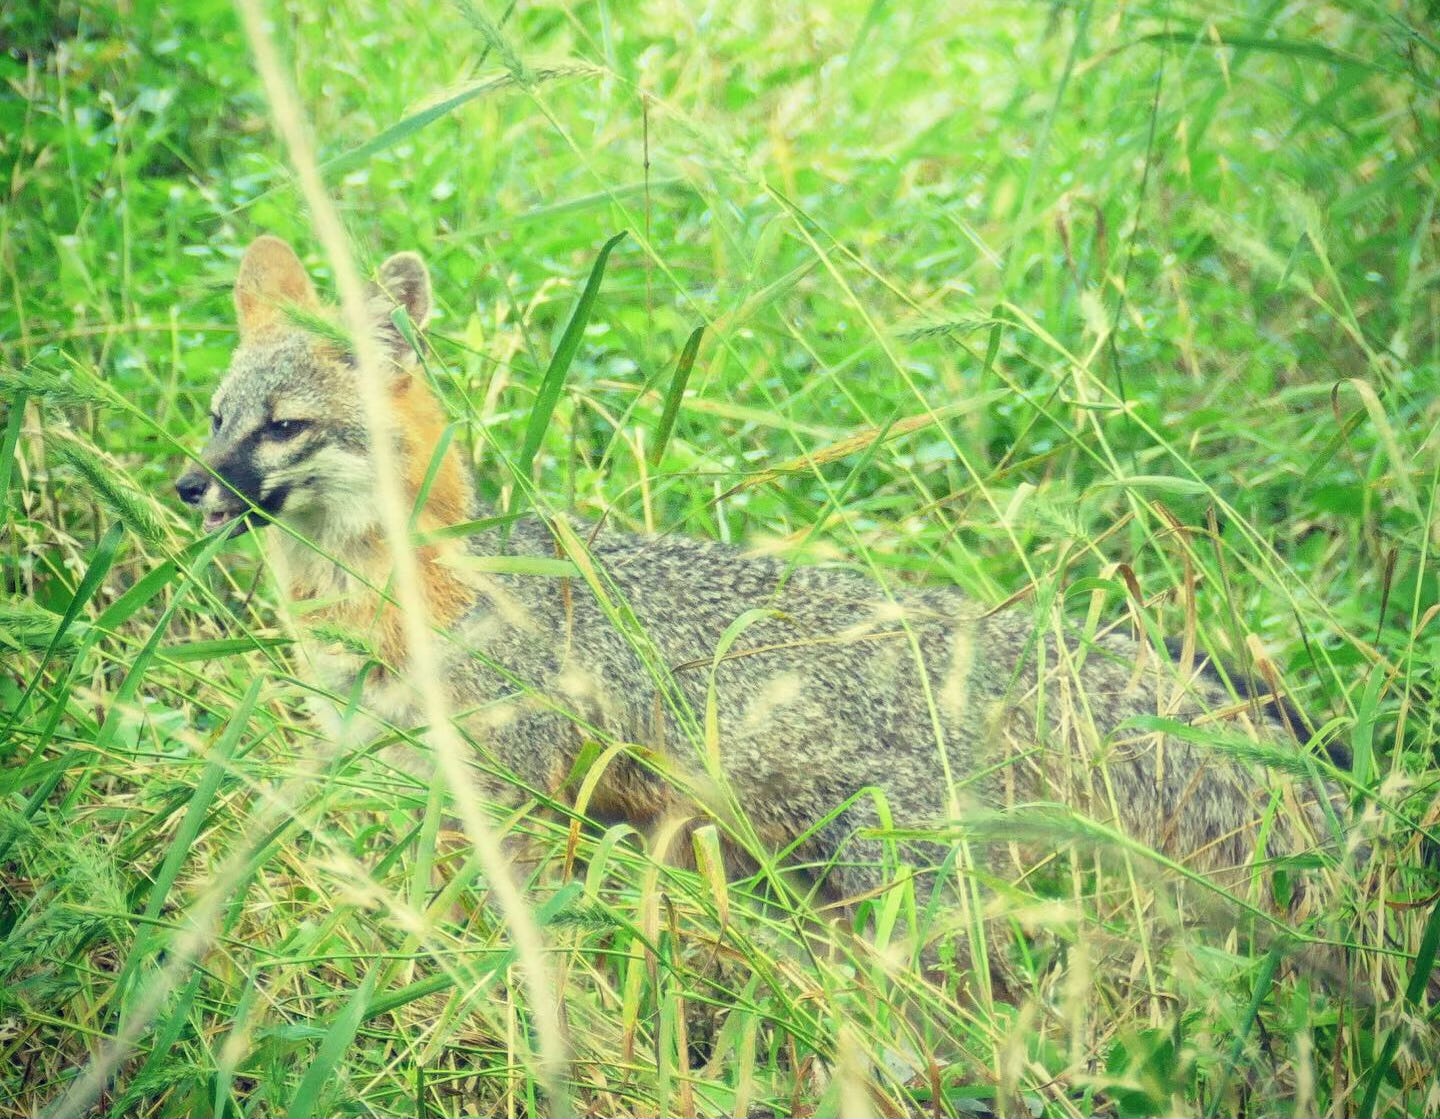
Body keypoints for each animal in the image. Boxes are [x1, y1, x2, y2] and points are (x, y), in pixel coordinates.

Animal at [177, 237, 1336, 915]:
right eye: (218, 416)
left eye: (283, 427)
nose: (188, 484)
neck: (411, 597)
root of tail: (980, 628)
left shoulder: (514, 791)